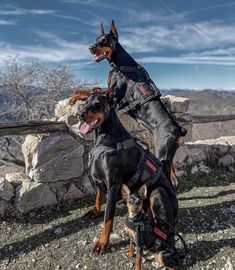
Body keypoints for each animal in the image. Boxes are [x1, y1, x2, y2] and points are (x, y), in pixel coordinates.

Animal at [78, 94, 177, 255]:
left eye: (98, 104)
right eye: (85, 102)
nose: (79, 114)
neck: (105, 139)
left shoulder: (113, 183)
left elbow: (108, 218)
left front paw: (102, 243)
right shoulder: (99, 177)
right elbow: (98, 196)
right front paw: (95, 211)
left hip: (158, 191)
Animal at [88, 21, 187, 189]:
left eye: (104, 41)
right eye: (96, 39)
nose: (90, 47)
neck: (121, 63)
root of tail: (178, 129)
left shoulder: (114, 95)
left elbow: (91, 91)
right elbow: (94, 90)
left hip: (162, 151)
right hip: (169, 152)